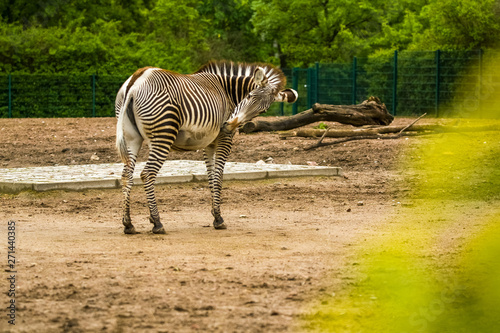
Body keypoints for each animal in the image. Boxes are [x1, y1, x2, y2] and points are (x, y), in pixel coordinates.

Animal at [115, 61, 296, 235]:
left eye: (263, 110)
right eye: (249, 96)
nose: (229, 126)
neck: (228, 92)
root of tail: (137, 79)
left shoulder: (209, 143)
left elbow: (210, 176)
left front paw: (215, 215)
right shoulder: (224, 140)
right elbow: (218, 176)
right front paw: (219, 219)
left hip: (131, 138)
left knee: (126, 175)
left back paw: (128, 224)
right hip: (163, 135)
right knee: (147, 174)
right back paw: (157, 223)